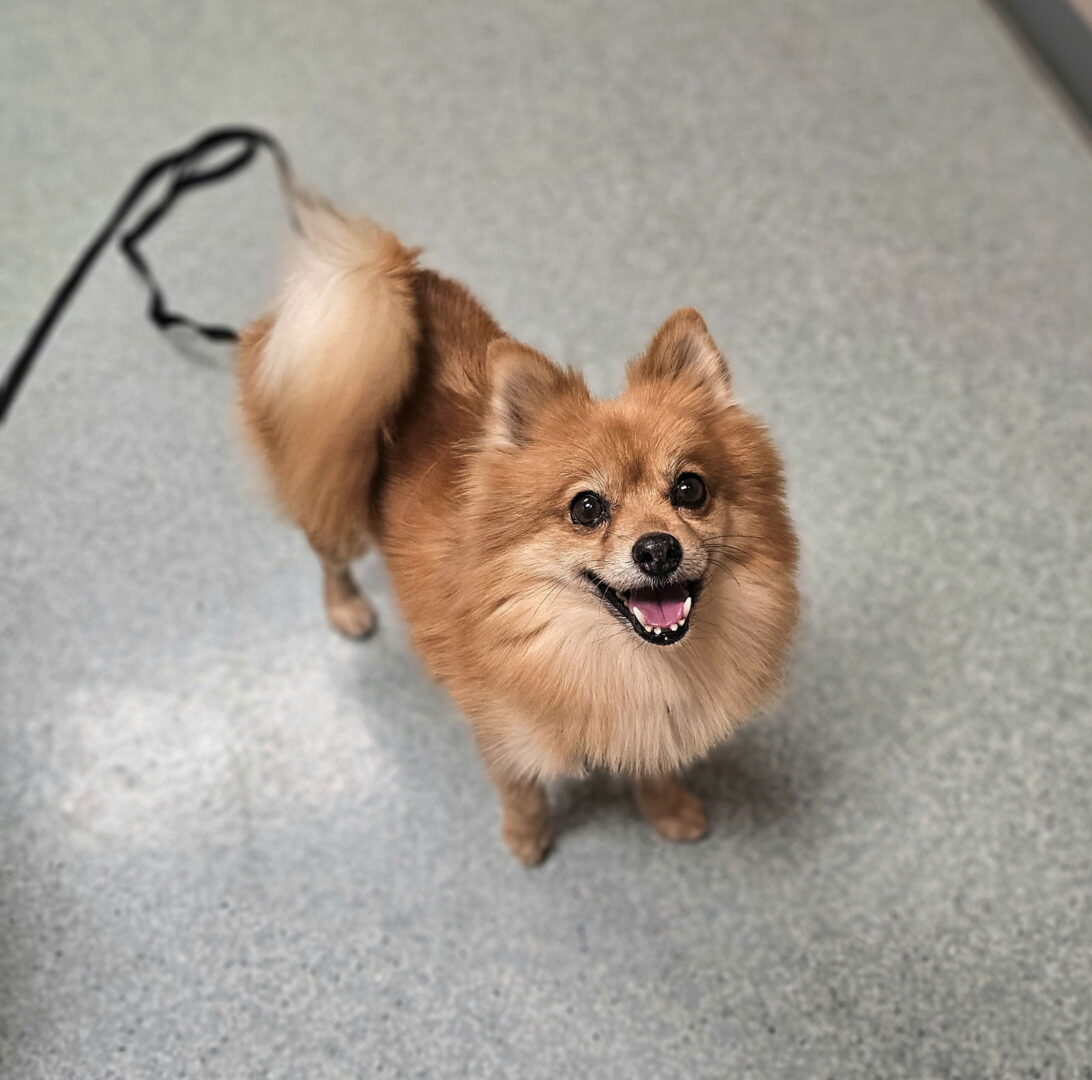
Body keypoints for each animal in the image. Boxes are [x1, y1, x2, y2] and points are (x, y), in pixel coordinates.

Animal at [237, 196, 799, 864]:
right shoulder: (500, 729)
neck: (626, 662)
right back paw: (347, 608)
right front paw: (528, 839)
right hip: (333, 497)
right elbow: (521, 788)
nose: (658, 550)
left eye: (690, 490)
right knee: (330, 559)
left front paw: (668, 808)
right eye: (587, 508)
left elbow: (655, 763)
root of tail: (381, 278)